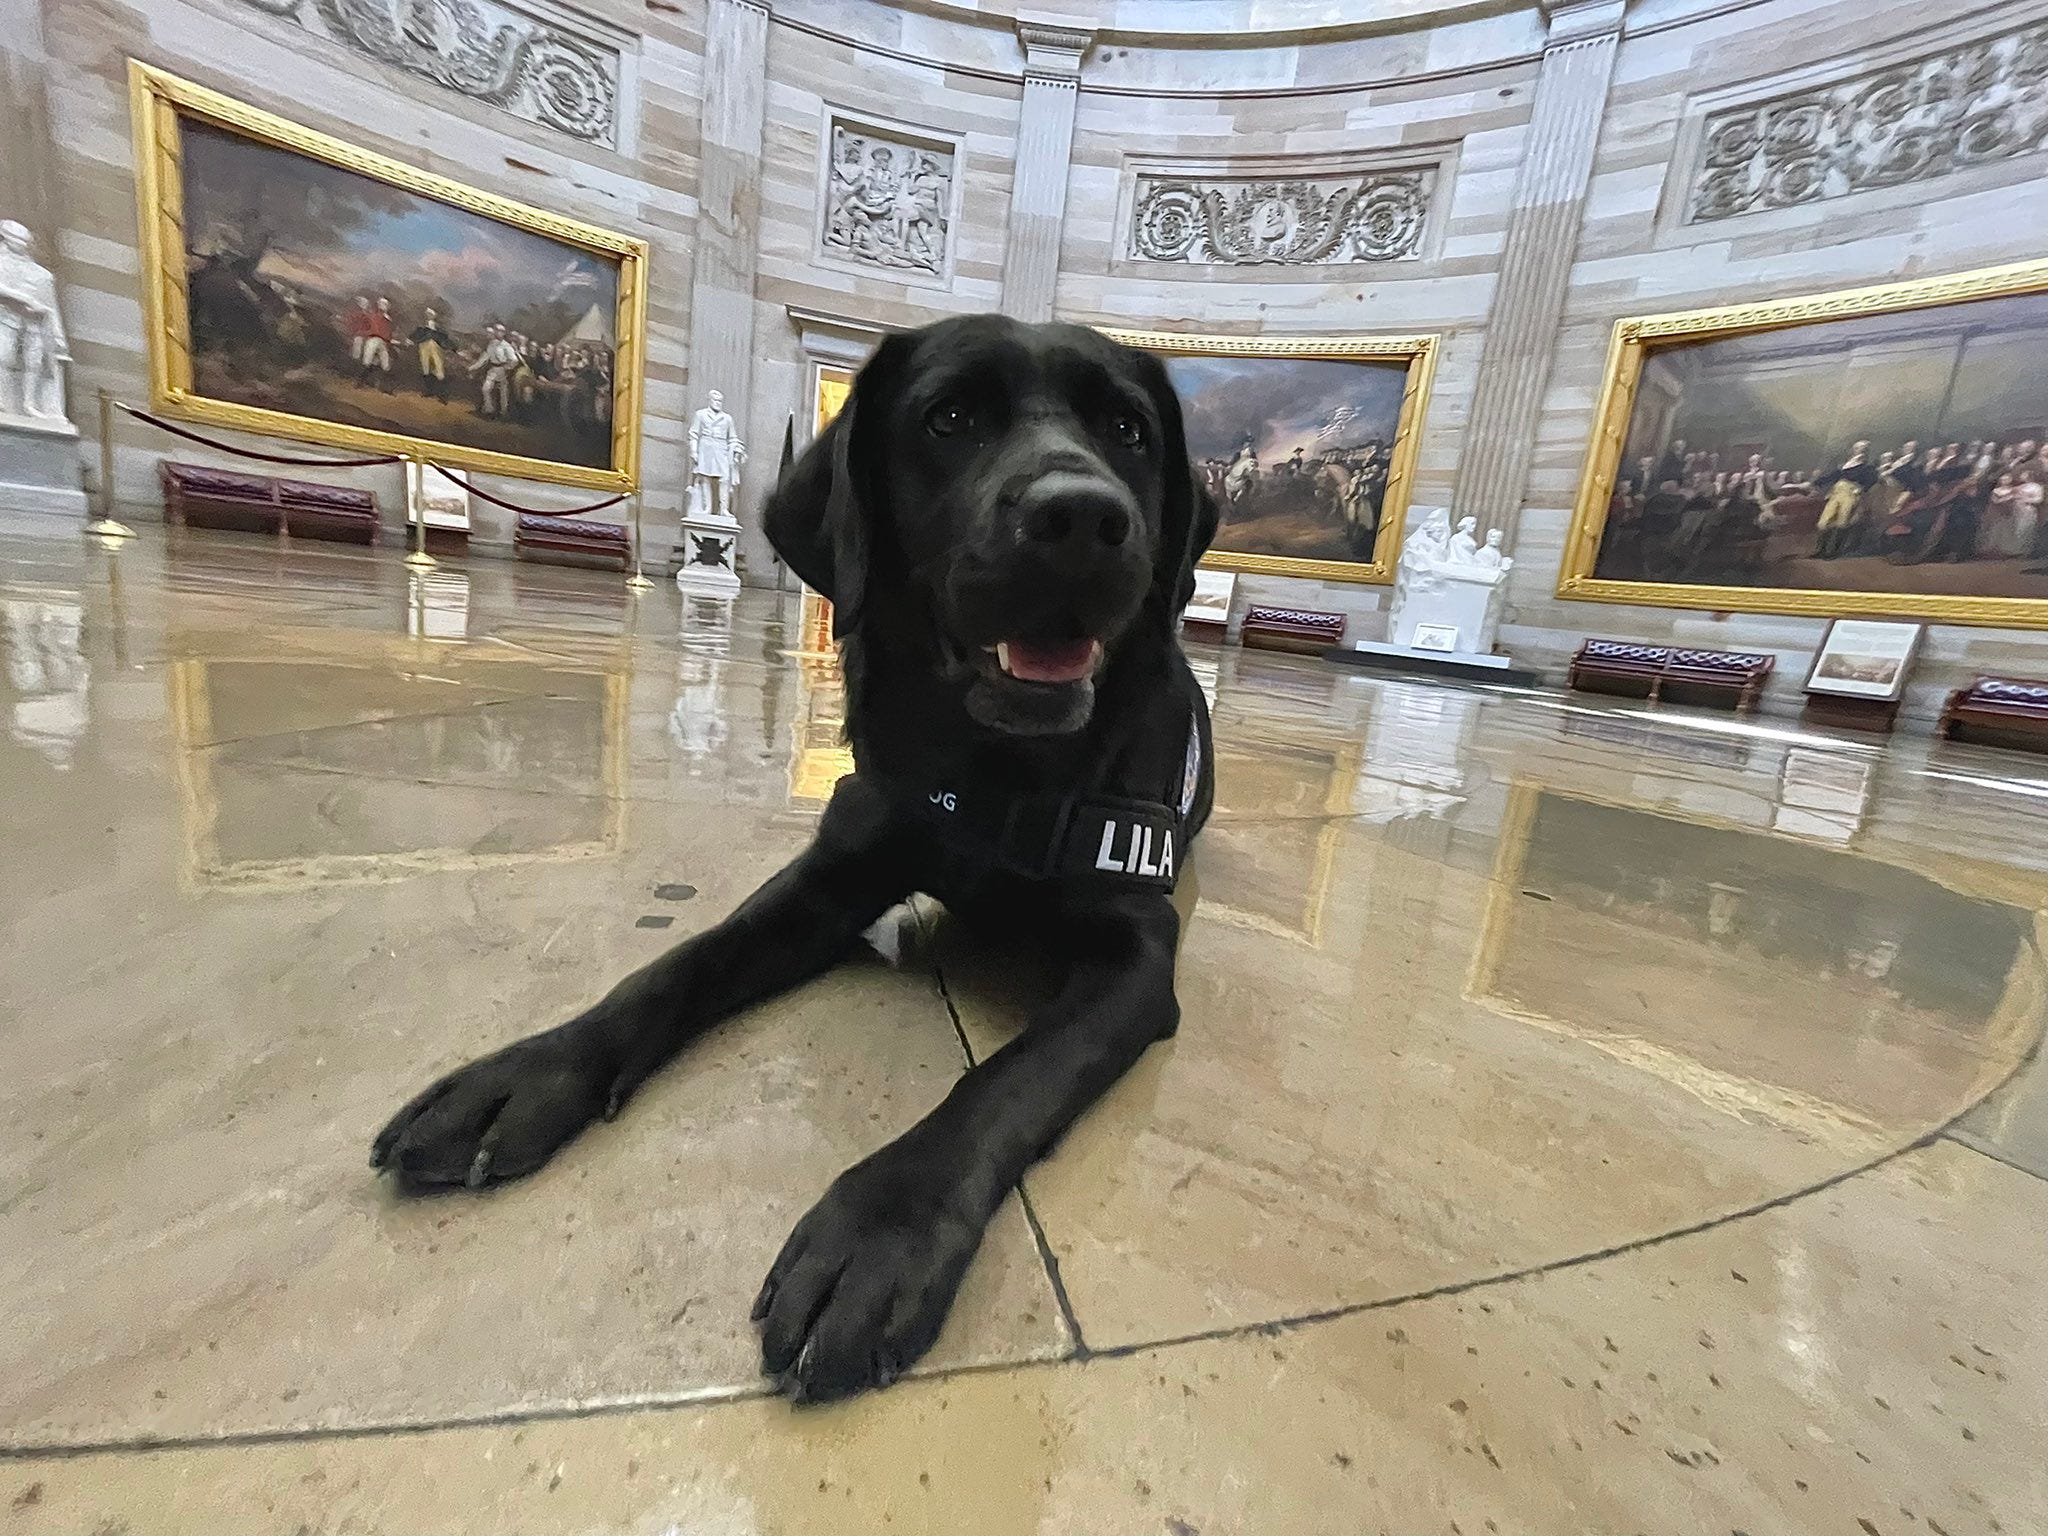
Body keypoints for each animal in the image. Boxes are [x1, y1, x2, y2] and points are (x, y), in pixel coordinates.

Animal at [372, 315, 1212, 1409]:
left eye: (1127, 429)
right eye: (950, 418)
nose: (1080, 516)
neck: (992, 769)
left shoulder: (1135, 956)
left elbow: (1005, 1080)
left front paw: (883, 1228)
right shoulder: (829, 880)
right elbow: (677, 964)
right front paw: (526, 1072)